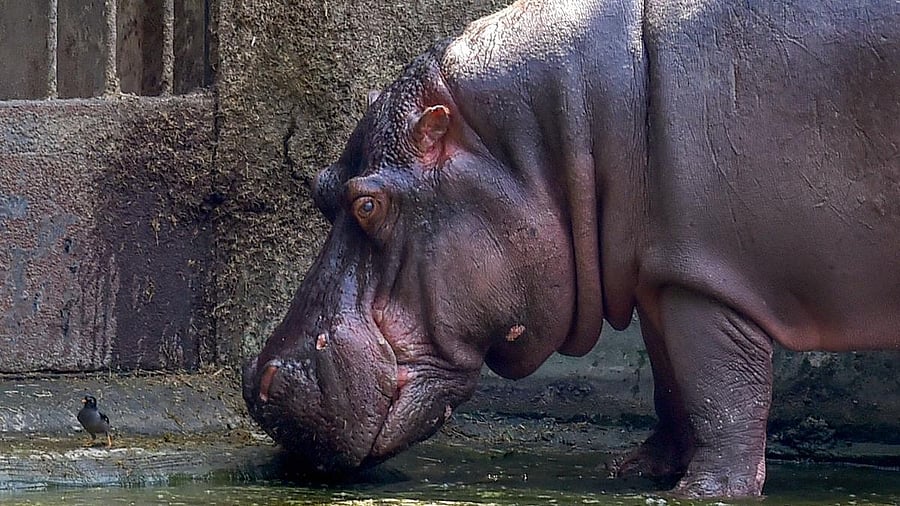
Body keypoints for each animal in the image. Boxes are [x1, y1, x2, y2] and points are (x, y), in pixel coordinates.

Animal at [243, 0, 900, 498]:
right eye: (322, 186)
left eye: (368, 205)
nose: (257, 384)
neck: (560, 132)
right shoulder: (657, 276)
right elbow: (673, 383)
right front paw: (636, 470)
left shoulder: (701, 277)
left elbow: (723, 390)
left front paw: (701, 493)